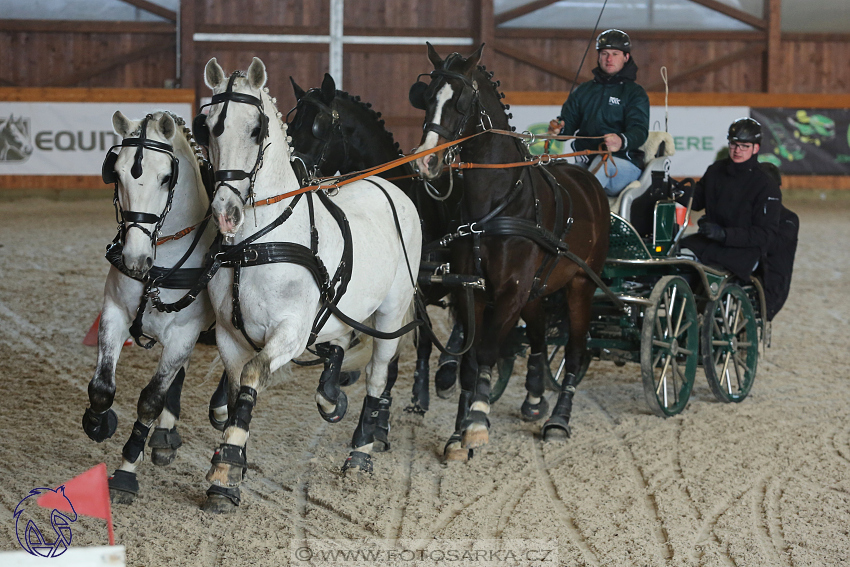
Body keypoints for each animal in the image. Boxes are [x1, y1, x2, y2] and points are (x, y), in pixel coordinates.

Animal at [82, 111, 217, 506]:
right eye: (117, 172)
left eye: (166, 177)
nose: (135, 258)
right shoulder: (113, 311)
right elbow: (102, 387)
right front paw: (99, 423)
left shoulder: (185, 332)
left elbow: (150, 400)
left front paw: (127, 470)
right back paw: (164, 436)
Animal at [200, 57, 424, 516]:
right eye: (207, 126)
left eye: (257, 128)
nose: (226, 211)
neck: (254, 244)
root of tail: (388, 186)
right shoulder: (229, 334)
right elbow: (233, 391)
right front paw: (232, 466)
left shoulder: (289, 330)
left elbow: (251, 377)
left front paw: (224, 472)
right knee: (337, 344)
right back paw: (330, 394)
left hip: (391, 313)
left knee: (378, 376)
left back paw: (361, 452)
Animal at [410, 43, 608, 462]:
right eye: (428, 97)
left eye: (461, 101)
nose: (425, 160)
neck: (496, 205)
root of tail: (589, 182)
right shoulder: (471, 290)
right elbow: (469, 363)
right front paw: (457, 436)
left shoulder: (510, 291)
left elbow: (486, 352)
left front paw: (477, 422)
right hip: (537, 290)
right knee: (538, 337)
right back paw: (534, 398)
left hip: (580, 286)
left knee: (576, 350)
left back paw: (559, 419)